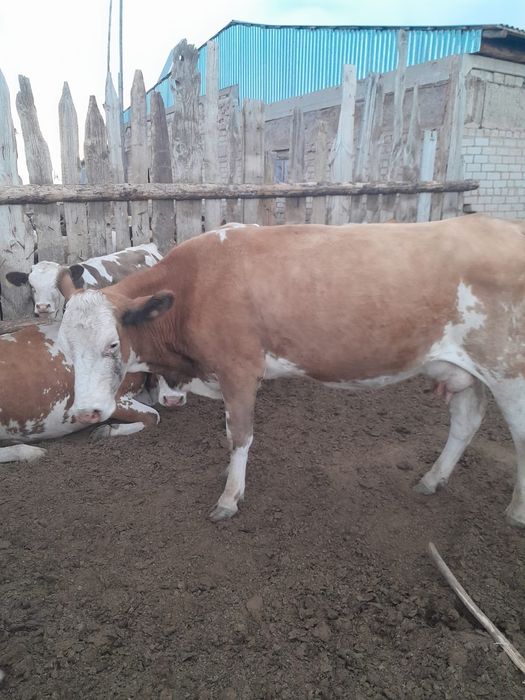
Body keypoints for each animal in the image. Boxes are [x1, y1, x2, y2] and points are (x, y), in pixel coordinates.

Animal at [56, 216, 525, 527]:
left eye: (112, 344)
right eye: (66, 347)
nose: (85, 412)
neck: (193, 288)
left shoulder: (239, 370)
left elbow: (239, 436)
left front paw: (230, 497)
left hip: (510, 372)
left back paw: (516, 512)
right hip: (464, 370)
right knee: (465, 421)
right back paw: (433, 478)